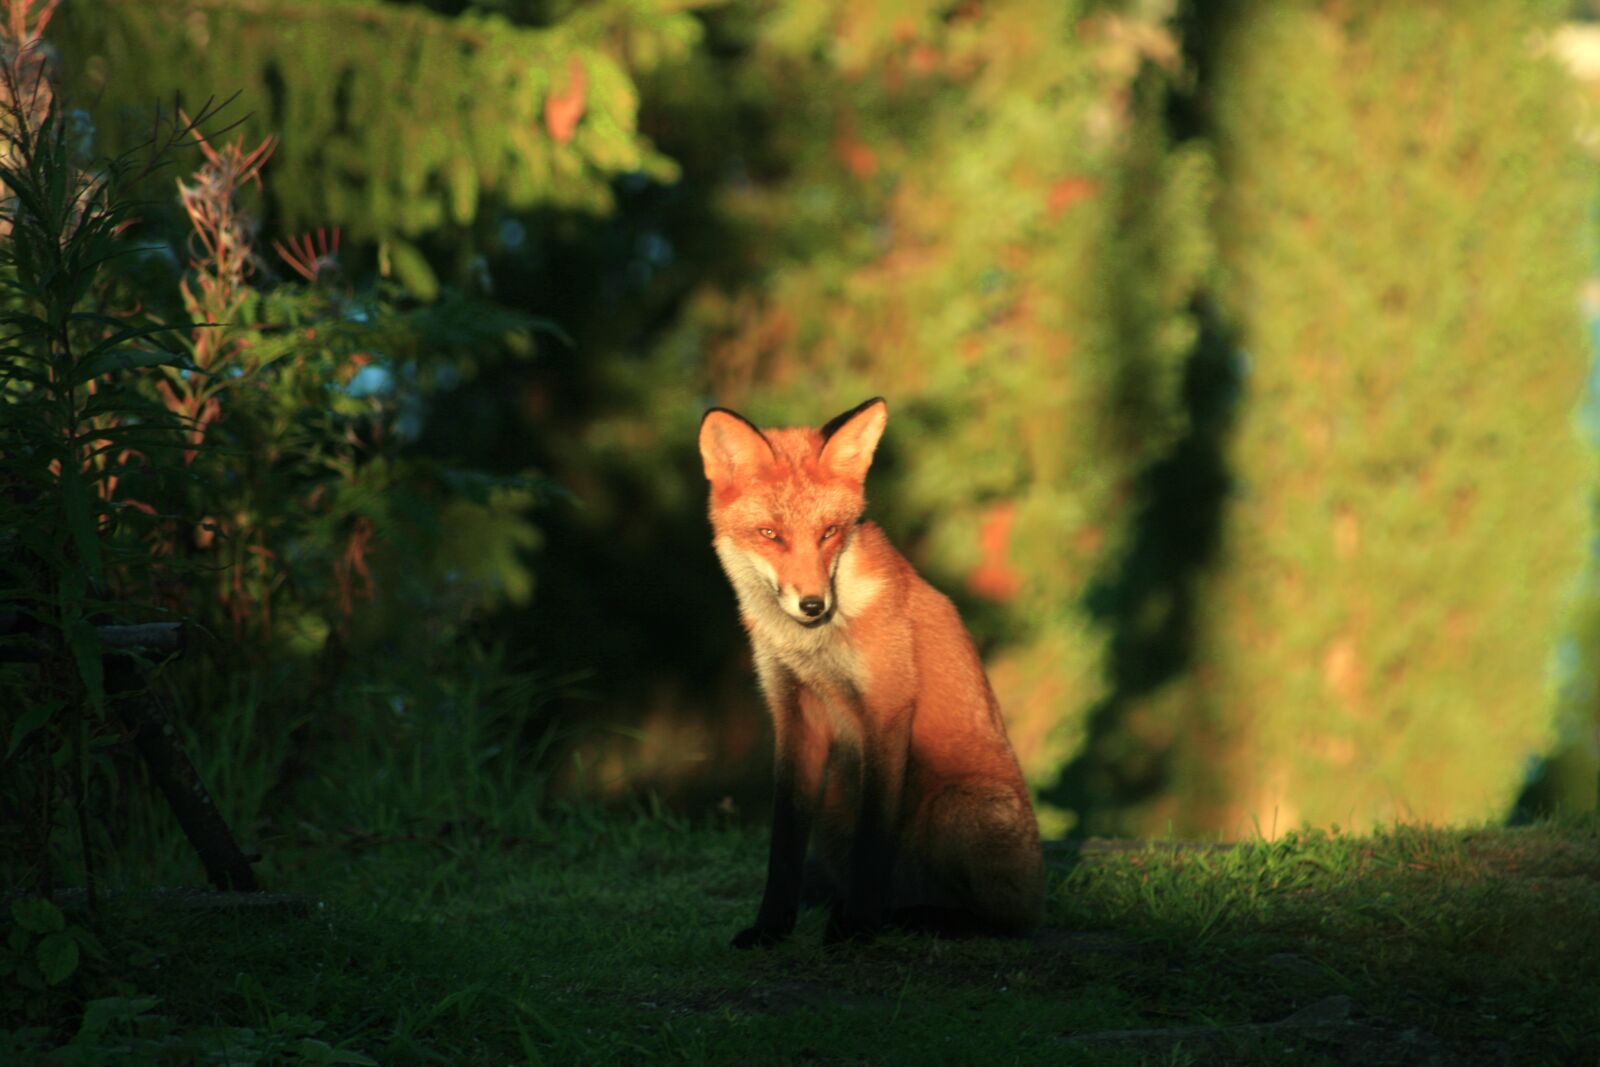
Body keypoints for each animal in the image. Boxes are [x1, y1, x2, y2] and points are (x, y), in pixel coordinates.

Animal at [699, 397, 1044, 946]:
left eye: (829, 532)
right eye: (770, 535)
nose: (813, 604)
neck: (812, 649)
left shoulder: (886, 708)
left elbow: (873, 838)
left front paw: (857, 929)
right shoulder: (794, 715)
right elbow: (783, 847)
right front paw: (771, 929)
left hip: (958, 806)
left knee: (1006, 923)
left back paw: (914, 919)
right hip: (834, 814)